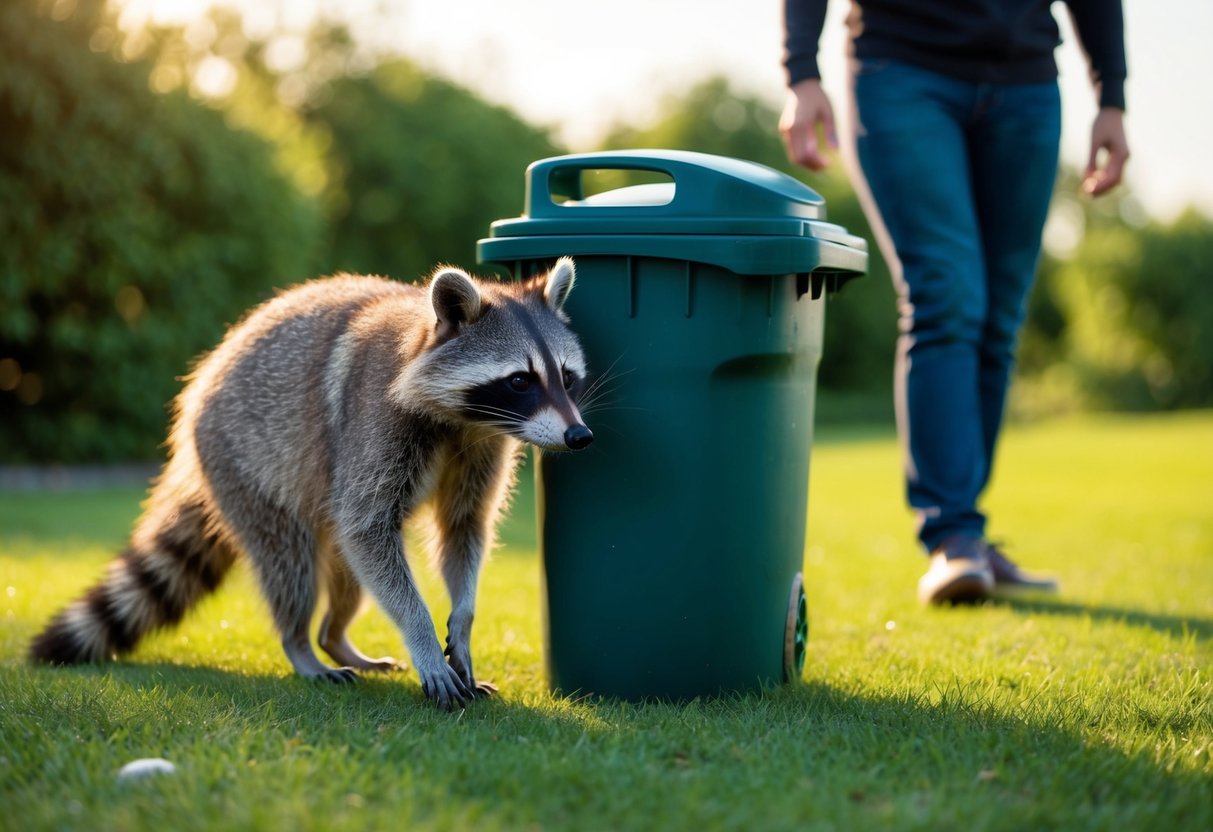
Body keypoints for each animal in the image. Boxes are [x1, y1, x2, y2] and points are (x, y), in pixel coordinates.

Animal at [29, 257, 592, 709]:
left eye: (566, 377)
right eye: (520, 380)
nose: (579, 435)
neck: (461, 416)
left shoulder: (482, 445)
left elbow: (463, 528)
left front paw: (463, 621)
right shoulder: (375, 420)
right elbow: (368, 530)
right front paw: (424, 636)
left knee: (347, 565)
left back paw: (335, 635)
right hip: (245, 461)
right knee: (292, 563)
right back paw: (301, 643)